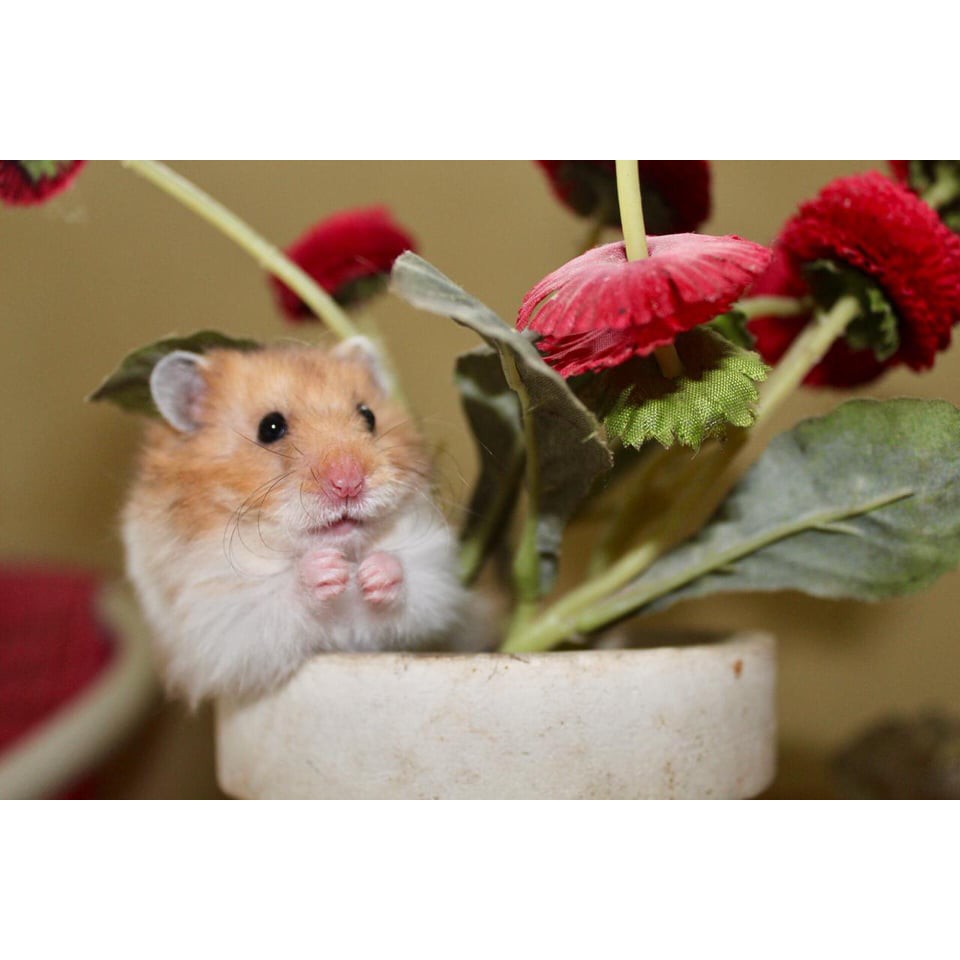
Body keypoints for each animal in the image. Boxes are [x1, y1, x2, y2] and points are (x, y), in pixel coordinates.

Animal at [122, 337, 476, 706]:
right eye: (270, 427)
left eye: (368, 416)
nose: (349, 483)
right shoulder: (225, 618)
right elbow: (279, 594)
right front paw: (327, 569)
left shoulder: (432, 583)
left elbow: (408, 583)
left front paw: (373, 572)